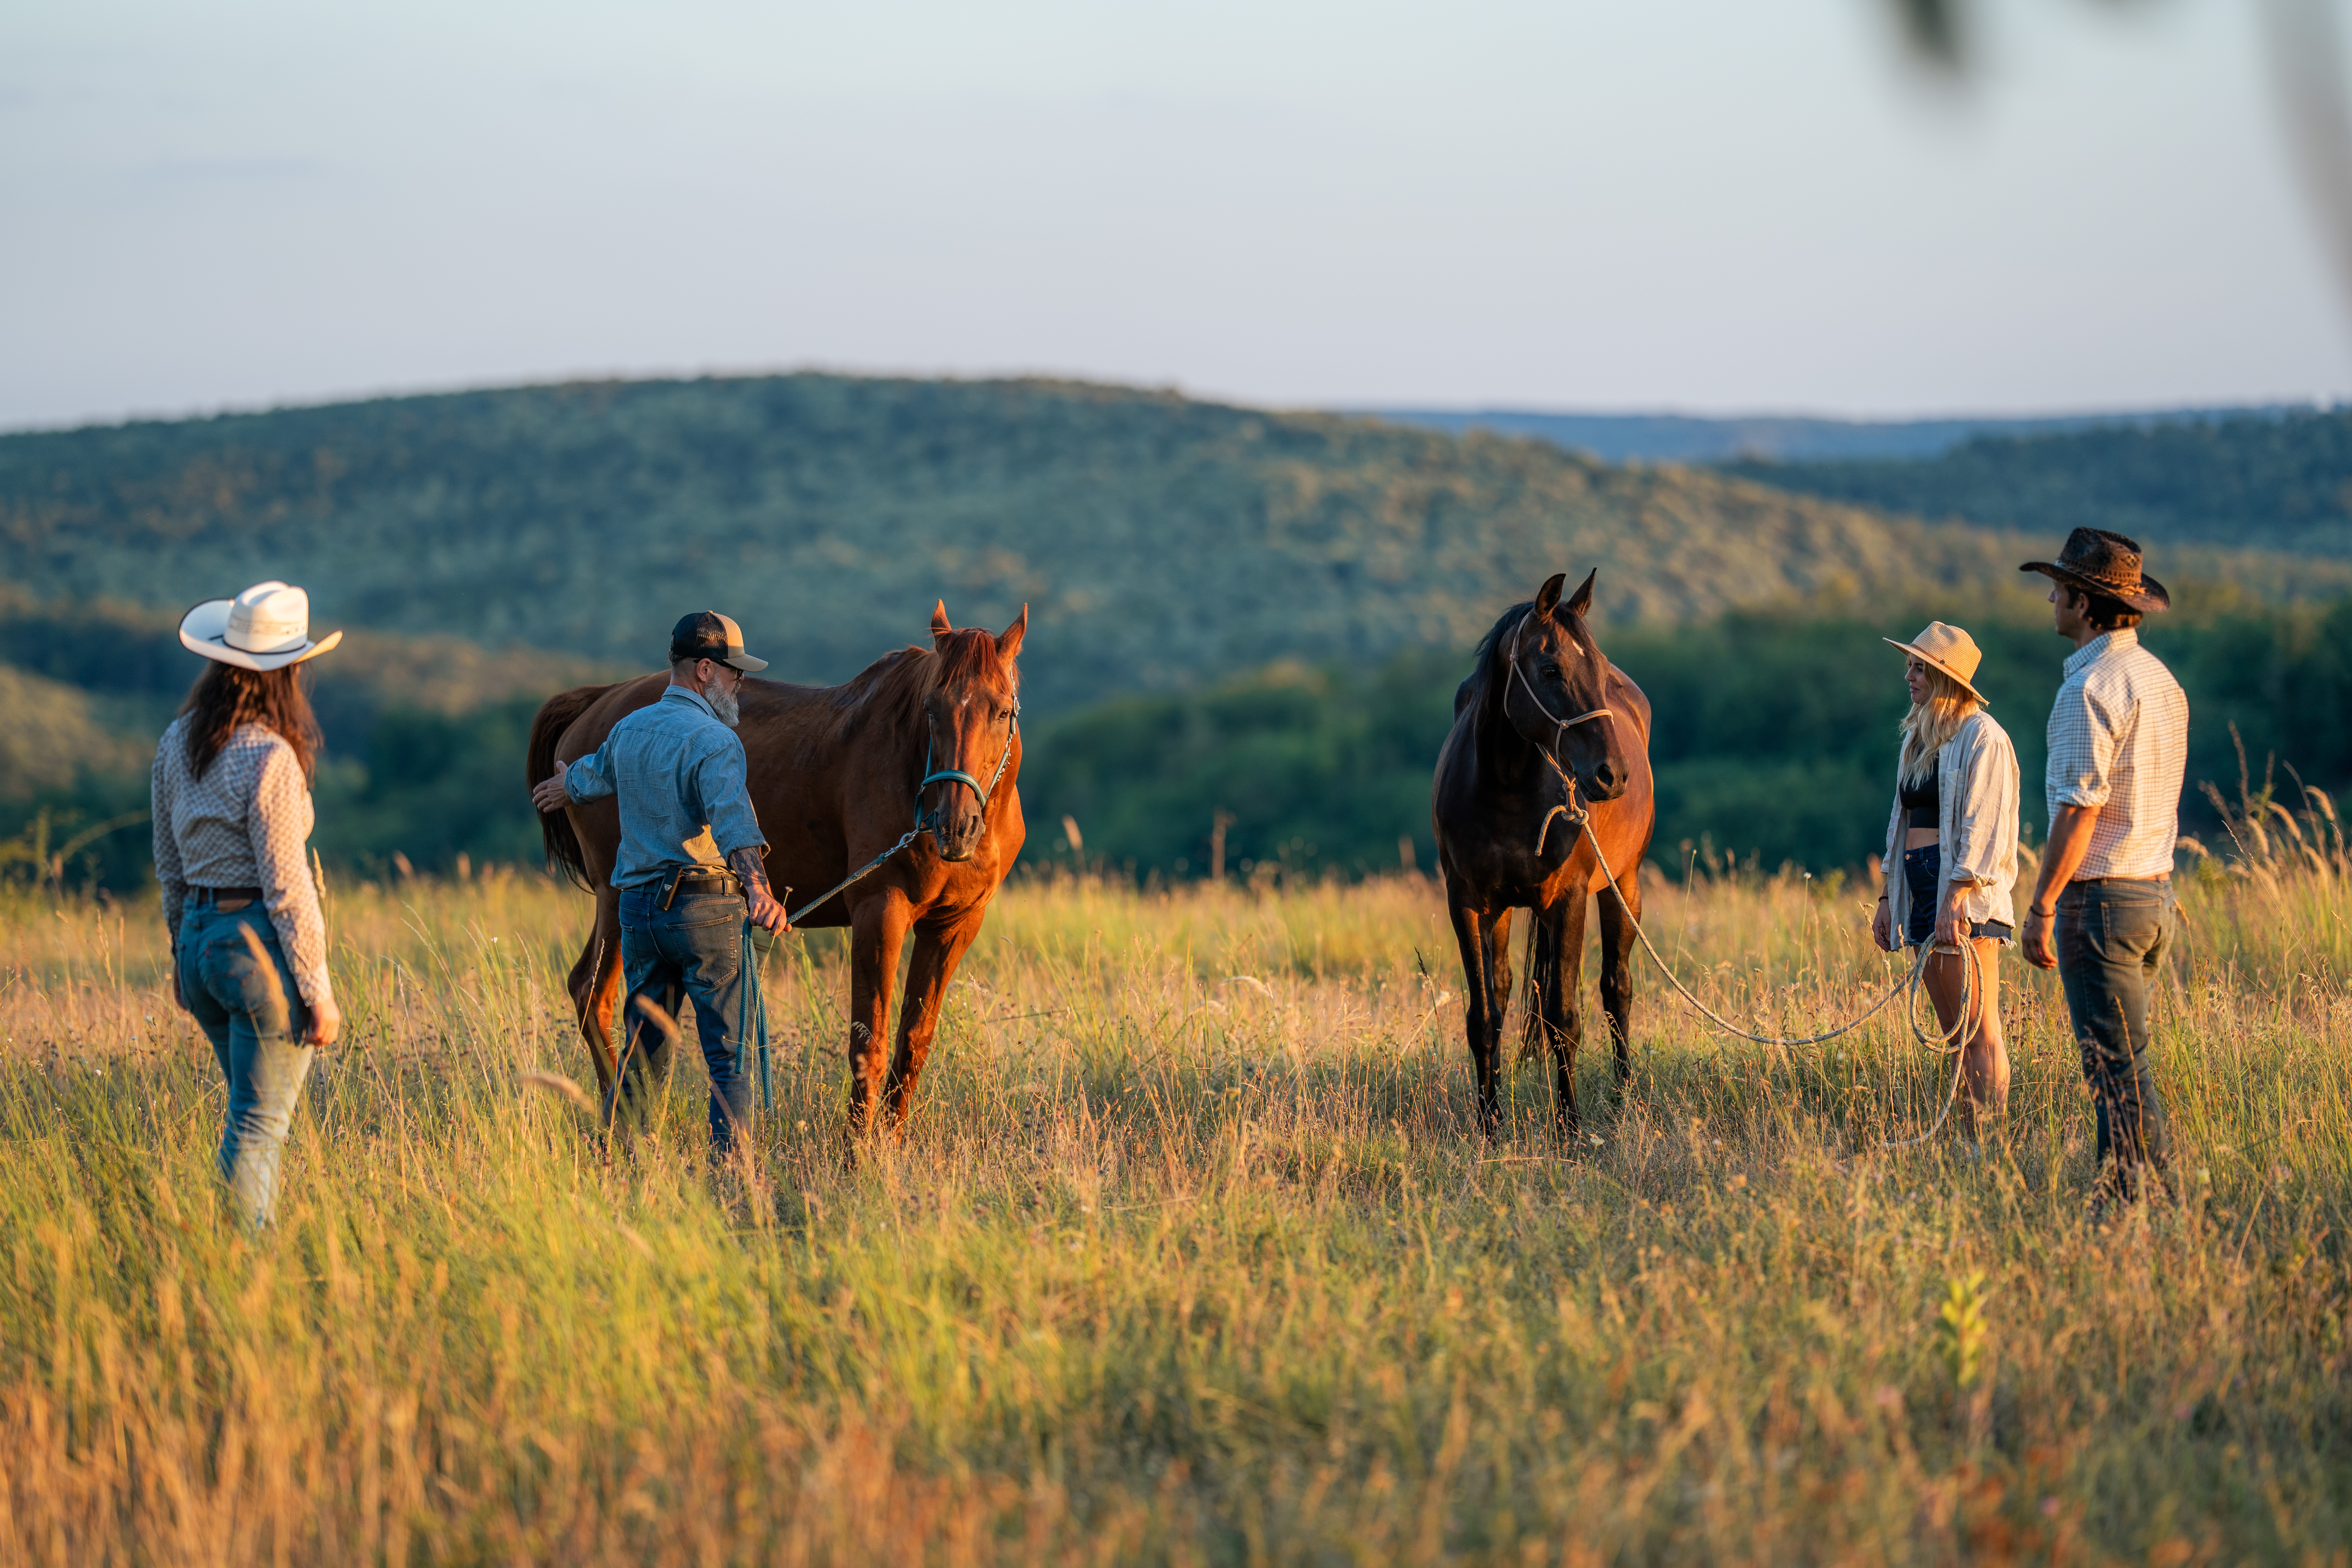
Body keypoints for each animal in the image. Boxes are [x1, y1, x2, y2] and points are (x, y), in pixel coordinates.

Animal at [528, 601, 1027, 1139]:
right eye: (931, 709)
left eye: (1002, 710)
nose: (956, 826)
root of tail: (600, 701)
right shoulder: (880, 912)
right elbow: (868, 1045)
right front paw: (858, 1153)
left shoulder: (952, 926)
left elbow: (912, 1045)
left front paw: (891, 1144)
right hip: (614, 898)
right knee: (593, 994)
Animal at [1431, 569, 1655, 1138]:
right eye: (1551, 668)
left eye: (1598, 665)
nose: (1613, 774)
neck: (1507, 787)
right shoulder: (1467, 902)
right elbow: (1484, 1017)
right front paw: (1489, 1126)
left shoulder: (1568, 899)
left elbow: (1563, 1018)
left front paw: (1570, 1129)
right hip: (1506, 910)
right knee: (1508, 988)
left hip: (1622, 886)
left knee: (1616, 988)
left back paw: (1624, 1099)